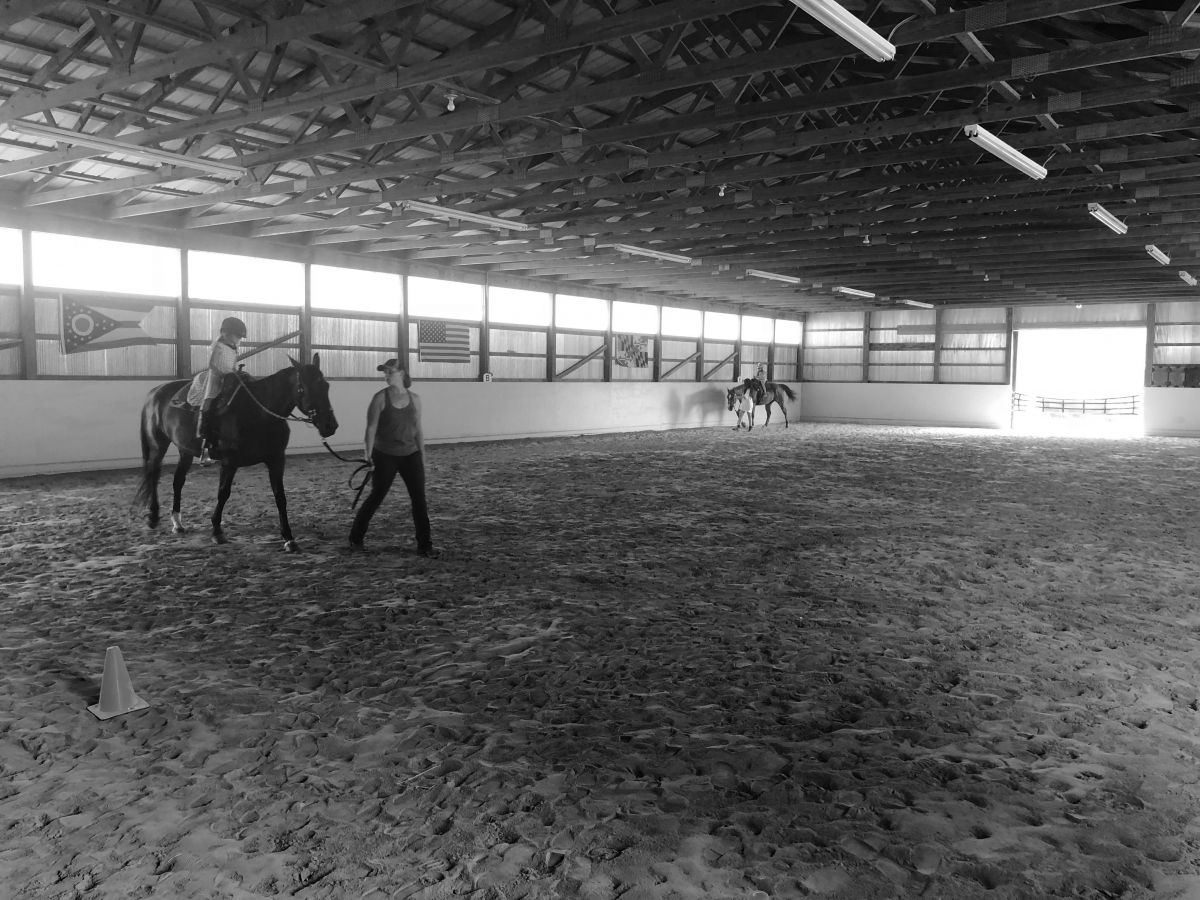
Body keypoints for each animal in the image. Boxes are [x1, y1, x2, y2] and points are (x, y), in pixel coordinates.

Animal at [137, 355, 340, 554]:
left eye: (326, 386)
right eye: (303, 388)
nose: (330, 425)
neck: (259, 413)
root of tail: (155, 392)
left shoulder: (276, 461)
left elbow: (280, 497)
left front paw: (289, 538)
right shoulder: (229, 462)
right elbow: (223, 493)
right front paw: (217, 532)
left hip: (184, 451)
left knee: (178, 481)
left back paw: (177, 523)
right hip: (158, 446)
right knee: (154, 475)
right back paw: (153, 518)